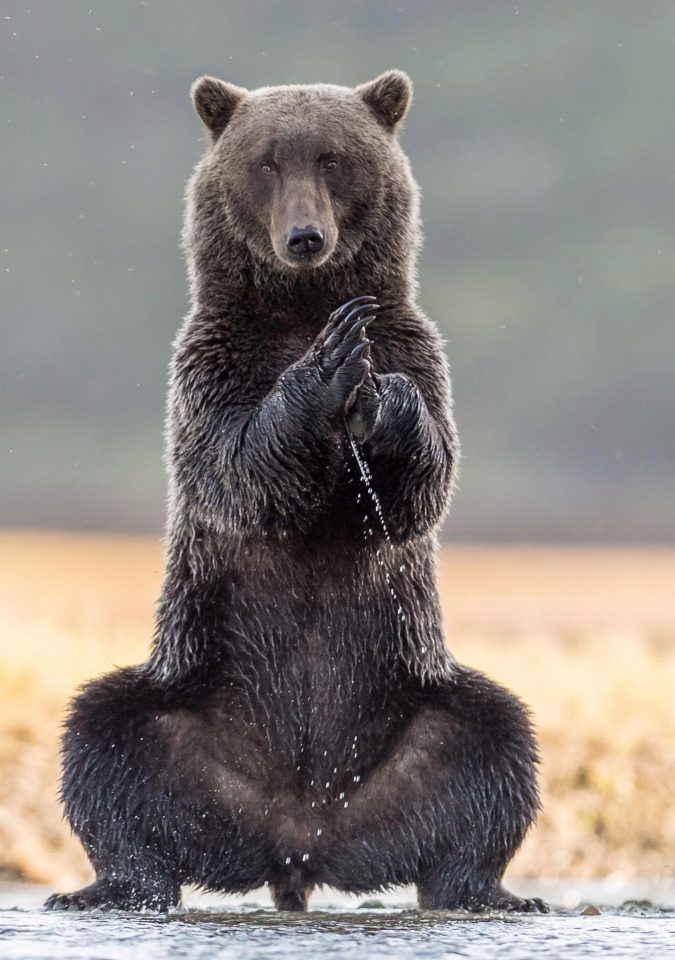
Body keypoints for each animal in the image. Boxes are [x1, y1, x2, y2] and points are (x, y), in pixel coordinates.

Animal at [45, 69, 548, 916]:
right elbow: (240, 470)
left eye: (332, 158)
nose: (305, 238)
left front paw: (377, 394)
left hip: (412, 699)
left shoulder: (417, 348)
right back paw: (106, 886)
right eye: (266, 163)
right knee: (104, 742)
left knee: (493, 748)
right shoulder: (213, 366)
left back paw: (490, 890)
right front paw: (328, 364)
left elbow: (421, 482)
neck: (297, 308)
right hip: (191, 693)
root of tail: (299, 838)